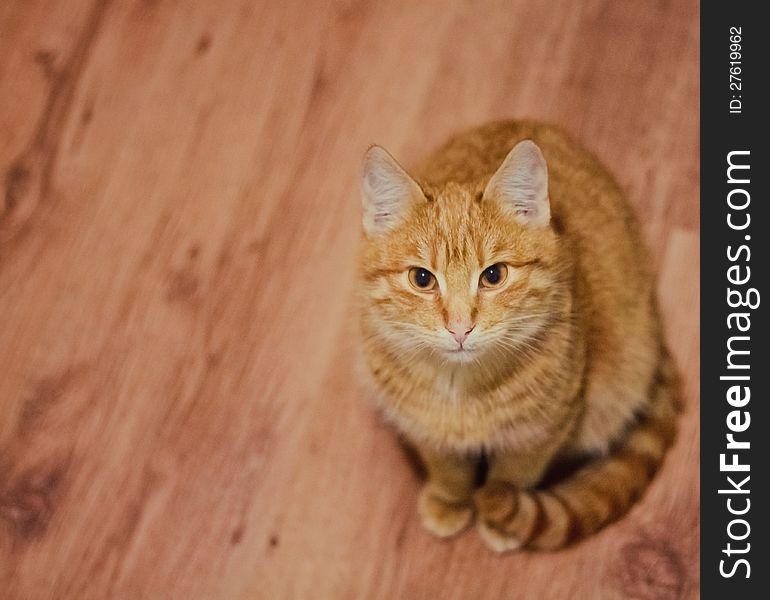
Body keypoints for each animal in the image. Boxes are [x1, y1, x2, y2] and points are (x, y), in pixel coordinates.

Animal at [356, 119, 680, 552]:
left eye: (494, 275)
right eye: (422, 279)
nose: (460, 327)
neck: (461, 390)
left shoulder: (543, 431)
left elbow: (513, 475)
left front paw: (501, 517)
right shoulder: (422, 425)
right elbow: (446, 467)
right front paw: (451, 498)